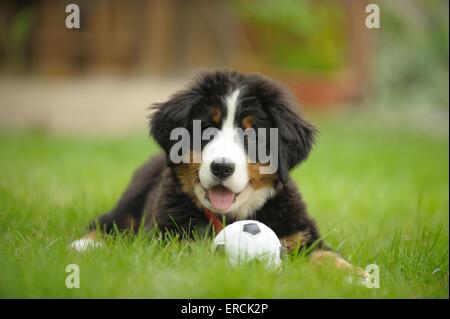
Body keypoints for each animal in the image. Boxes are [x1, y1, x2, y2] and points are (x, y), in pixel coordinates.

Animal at [70, 69, 366, 278]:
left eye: (251, 133)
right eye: (206, 129)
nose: (222, 167)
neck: (231, 216)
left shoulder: (302, 235)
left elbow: (326, 256)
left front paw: (356, 276)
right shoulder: (170, 239)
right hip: (132, 202)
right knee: (108, 224)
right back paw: (83, 247)